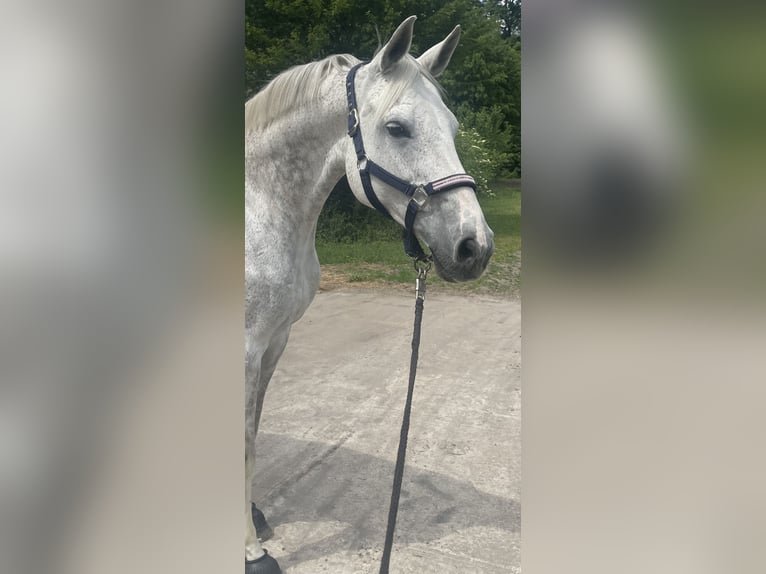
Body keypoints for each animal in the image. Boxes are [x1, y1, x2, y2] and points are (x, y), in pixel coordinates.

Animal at [244, 16, 494, 573]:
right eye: (397, 128)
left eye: (453, 128)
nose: (475, 247)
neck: (259, 210)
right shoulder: (247, 347)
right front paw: (251, 551)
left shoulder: (274, 341)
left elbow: (251, 430)